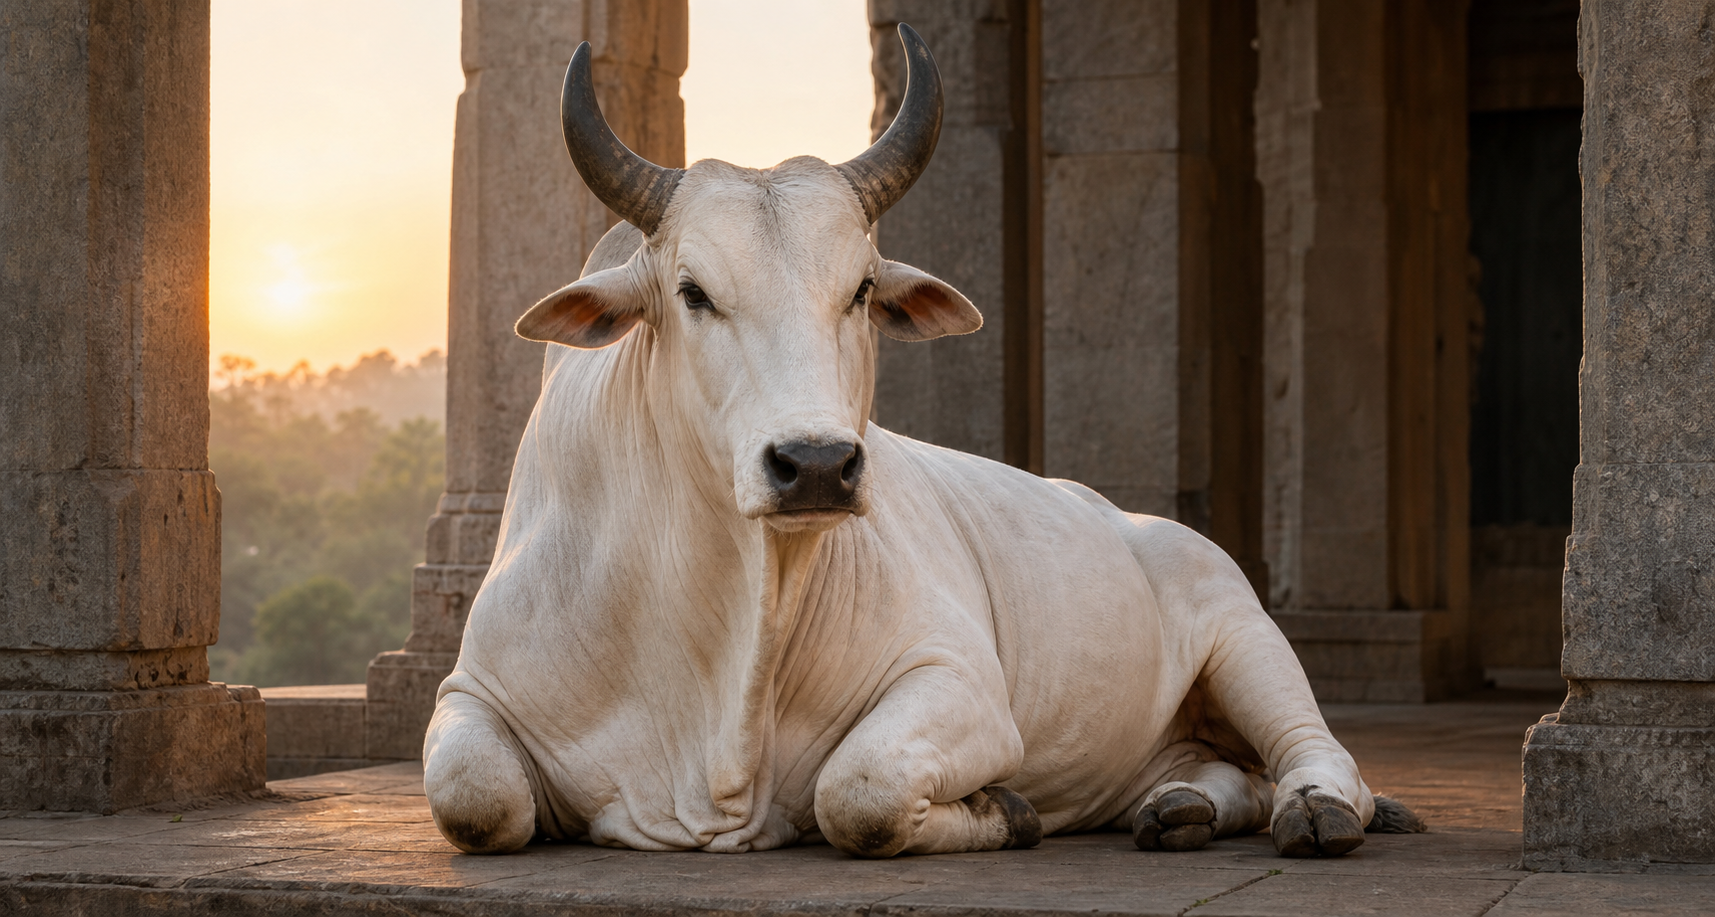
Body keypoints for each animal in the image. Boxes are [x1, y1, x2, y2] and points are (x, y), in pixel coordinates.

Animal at [422, 24, 1424, 860]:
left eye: (862, 288)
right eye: (692, 291)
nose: (815, 464)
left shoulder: (960, 685)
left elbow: (855, 792)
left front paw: (1003, 809)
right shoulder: (470, 693)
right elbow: (474, 796)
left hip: (1245, 631)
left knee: (1312, 751)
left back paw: (1313, 809)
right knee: (1225, 774)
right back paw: (1178, 806)